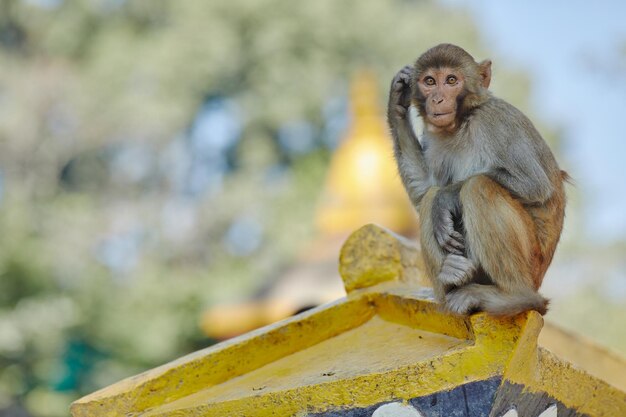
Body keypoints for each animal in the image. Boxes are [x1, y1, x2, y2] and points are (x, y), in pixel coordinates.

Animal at [386, 43, 564, 316]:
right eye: (429, 81)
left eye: (451, 80)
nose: (437, 99)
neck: (462, 121)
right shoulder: (433, 135)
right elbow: (424, 190)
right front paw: (396, 104)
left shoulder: (496, 121)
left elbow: (534, 185)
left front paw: (446, 198)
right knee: (430, 196)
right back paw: (450, 278)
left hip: (532, 263)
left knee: (478, 186)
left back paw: (516, 297)